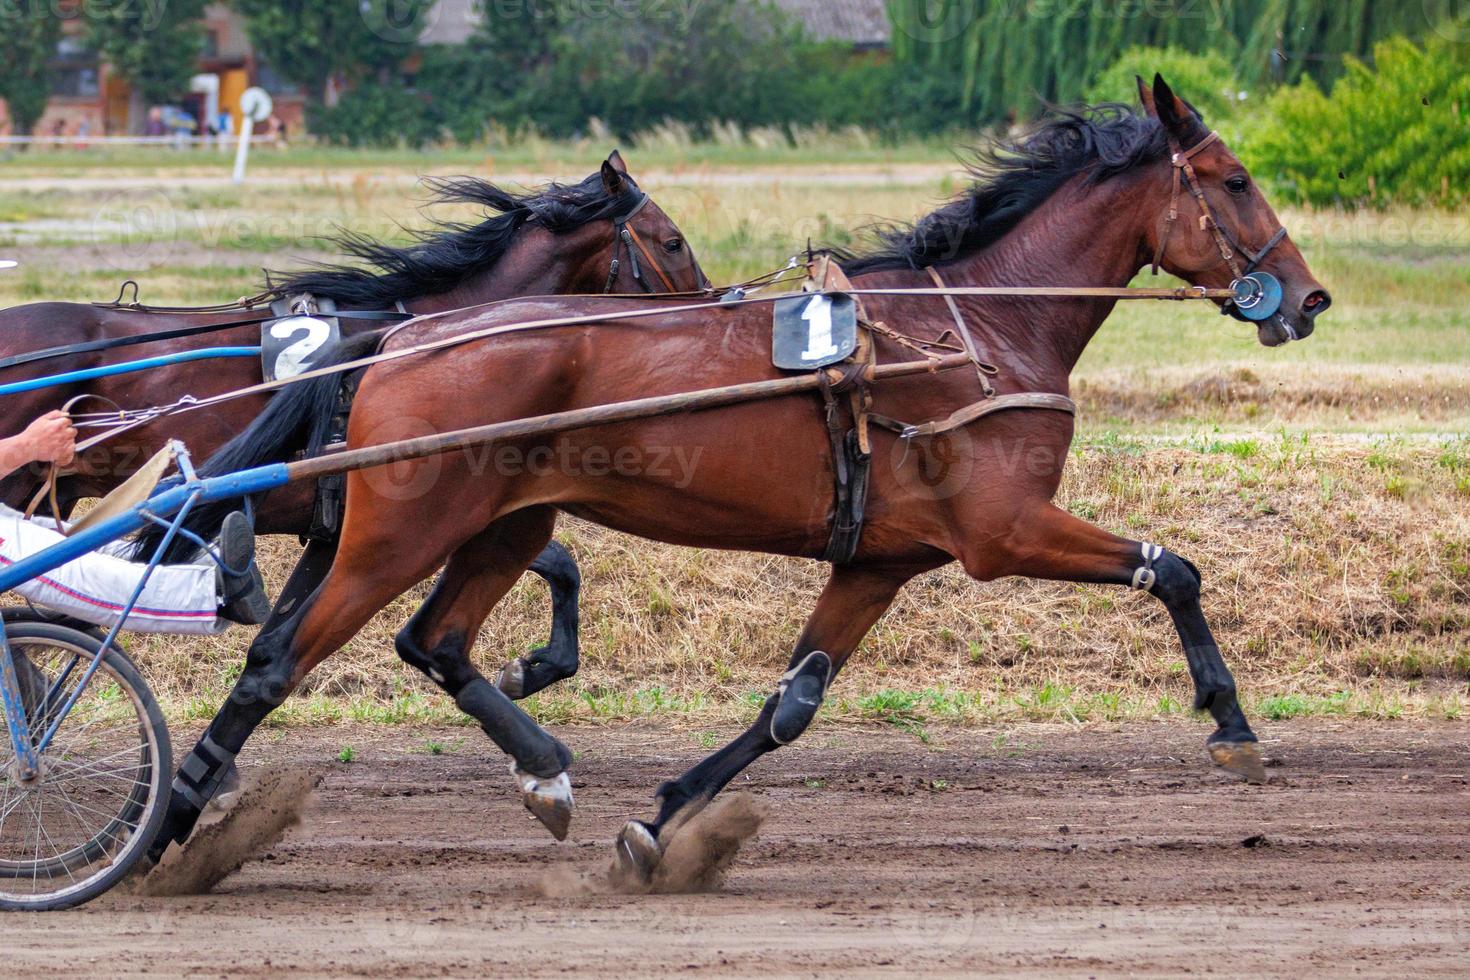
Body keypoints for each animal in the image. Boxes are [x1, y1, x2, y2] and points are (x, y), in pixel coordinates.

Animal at [1, 155, 711, 696]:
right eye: (673, 241)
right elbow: (558, 561)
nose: (712, 301)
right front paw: (533, 668)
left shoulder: (349, 520)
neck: (433, 331)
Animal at [146, 74, 1334, 875]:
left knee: (434, 640)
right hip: (397, 530)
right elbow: (1172, 569)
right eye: (1234, 180)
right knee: (278, 659)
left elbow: (793, 703)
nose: (1310, 297)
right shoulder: (1004, 529)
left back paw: (544, 771)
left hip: (502, 523)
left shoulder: (882, 560)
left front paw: (661, 815)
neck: (975, 329)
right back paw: (169, 826)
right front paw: (1230, 724)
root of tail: (397, 336)